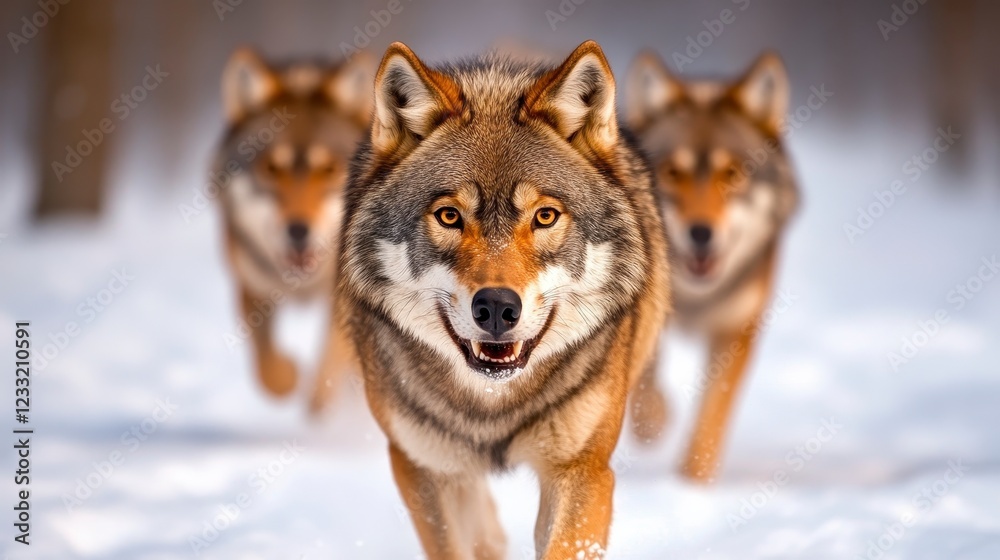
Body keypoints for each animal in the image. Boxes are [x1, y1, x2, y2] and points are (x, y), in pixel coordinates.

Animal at [215, 47, 372, 412]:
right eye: (273, 169)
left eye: (328, 169)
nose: (298, 231)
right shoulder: (252, 285)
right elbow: (266, 368)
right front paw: (288, 376)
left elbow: (328, 370)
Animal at [337, 41, 670, 558]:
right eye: (449, 216)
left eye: (545, 216)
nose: (496, 307)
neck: (494, 407)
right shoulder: (424, 469)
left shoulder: (583, 472)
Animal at [624, 51, 800, 482]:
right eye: (673, 173)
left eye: (731, 174)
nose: (701, 233)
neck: (694, 300)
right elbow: (646, 374)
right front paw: (653, 421)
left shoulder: (737, 327)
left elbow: (711, 417)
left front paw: (693, 481)